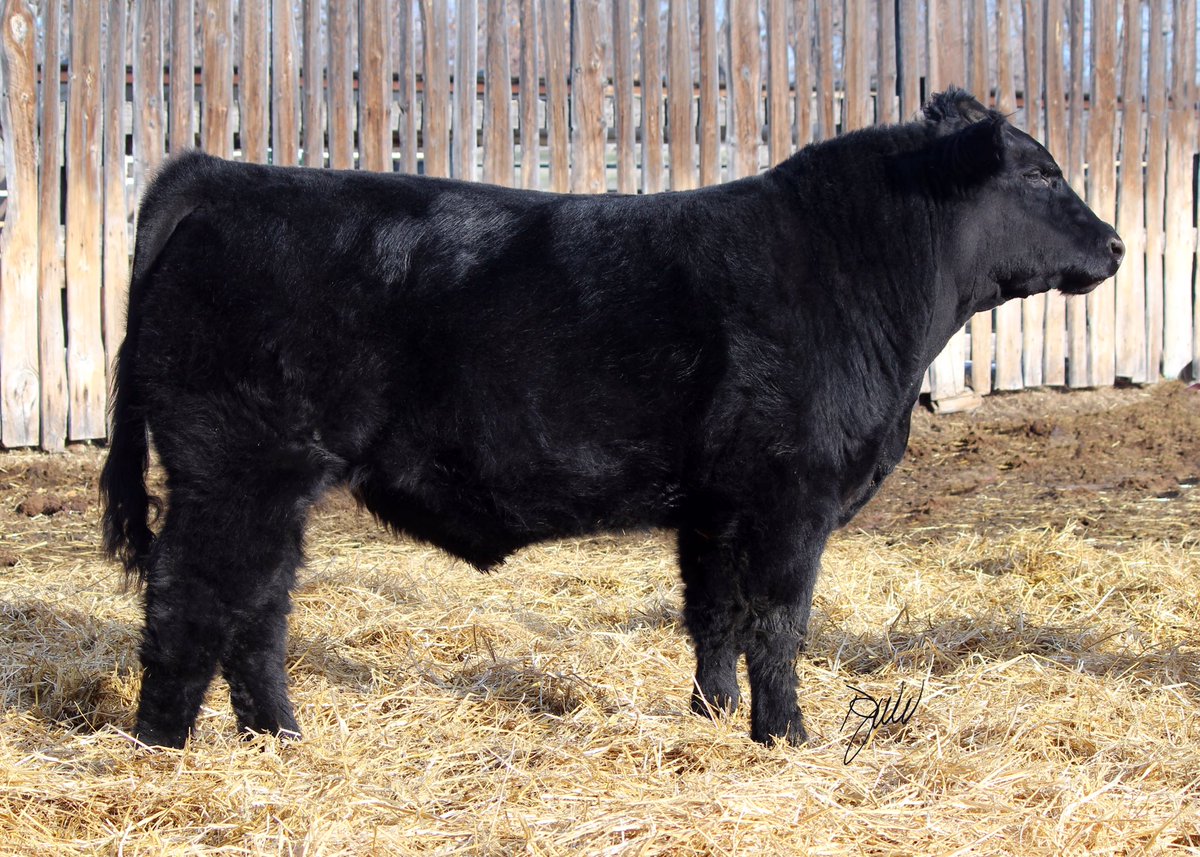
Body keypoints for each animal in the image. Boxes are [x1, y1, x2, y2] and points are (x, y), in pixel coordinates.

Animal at [101, 90, 1123, 749]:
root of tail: (218, 174)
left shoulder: (716, 503)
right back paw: (164, 746)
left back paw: (279, 736)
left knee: (259, 605)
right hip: (235, 465)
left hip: (274, 482)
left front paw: (716, 719)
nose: (1114, 244)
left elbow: (713, 614)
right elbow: (778, 620)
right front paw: (789, 736)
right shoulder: (791, 491)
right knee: (194, 596)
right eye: (1040, 174)